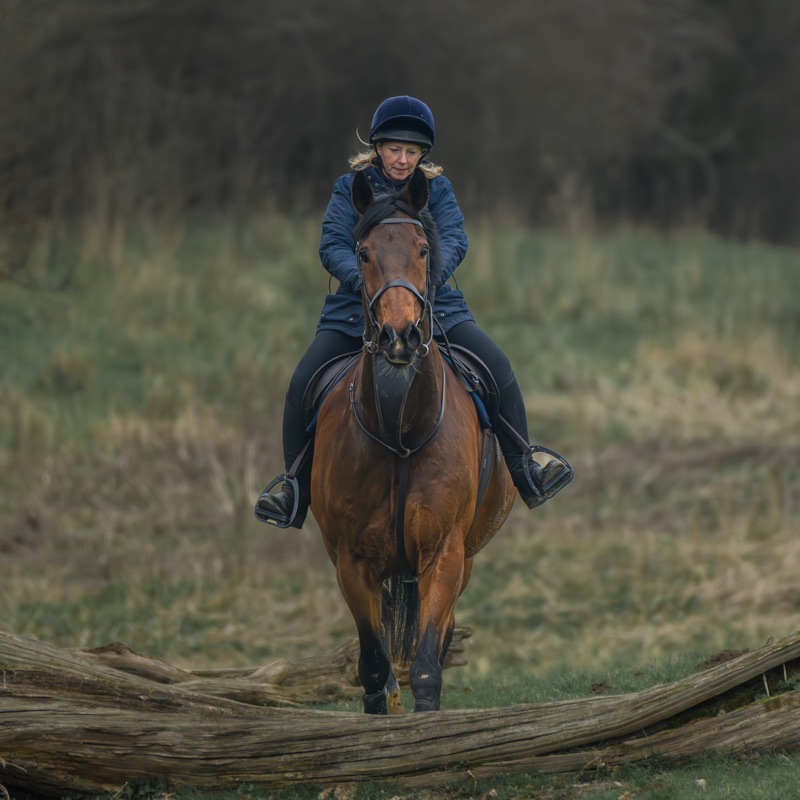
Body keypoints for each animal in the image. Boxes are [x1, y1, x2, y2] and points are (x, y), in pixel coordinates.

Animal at [310, 168, 516, 713]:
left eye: (424, 250)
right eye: (362, 253)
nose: (399, 336)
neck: (399, 430)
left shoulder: (444, 553)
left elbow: (426, 668)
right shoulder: (352, 563)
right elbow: (373, 669)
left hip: (464, 559)